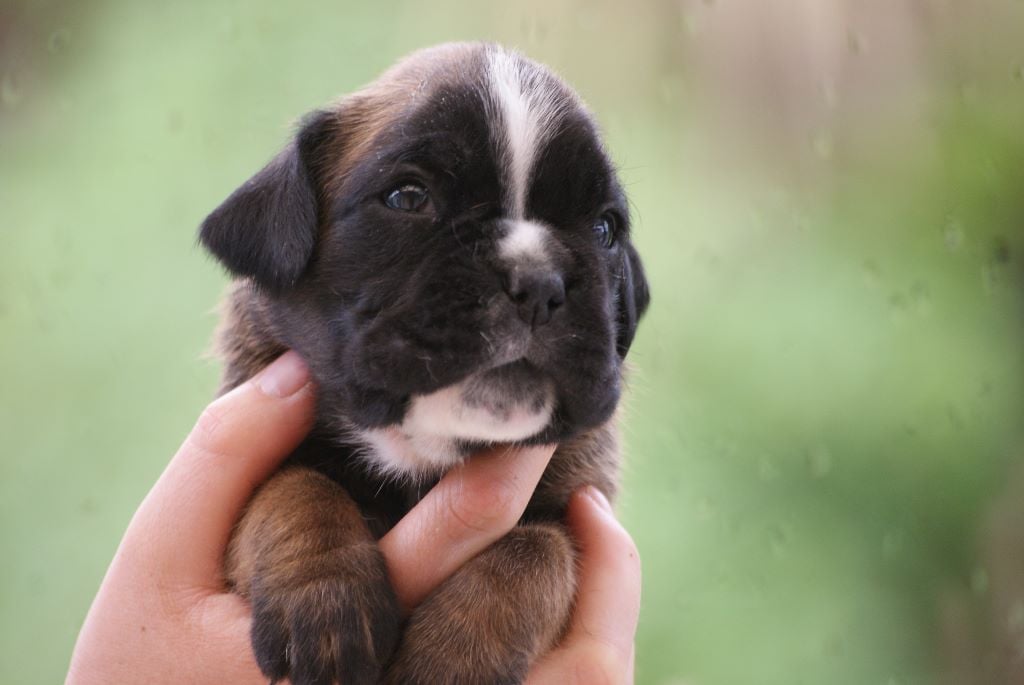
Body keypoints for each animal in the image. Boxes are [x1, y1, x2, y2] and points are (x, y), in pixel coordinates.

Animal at [199, 42, 647, 683]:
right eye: (408, 197)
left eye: (605, 229)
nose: (539, 282)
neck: (419, 449)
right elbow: (291, 488)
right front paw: (324, 596)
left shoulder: (582, 505)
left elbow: (539, 549)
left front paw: (454, 655)